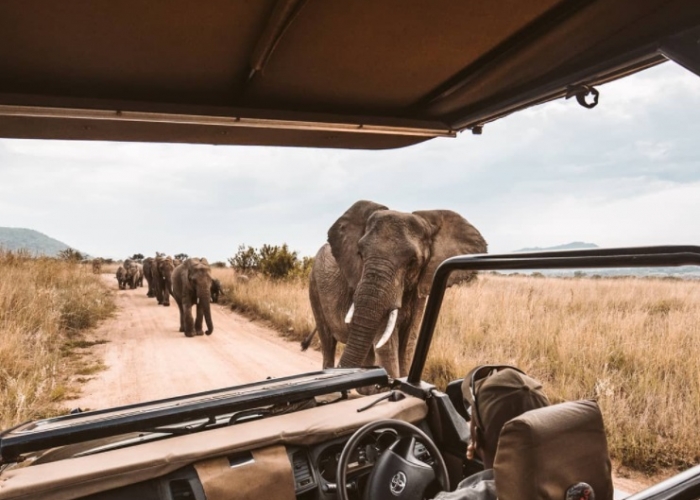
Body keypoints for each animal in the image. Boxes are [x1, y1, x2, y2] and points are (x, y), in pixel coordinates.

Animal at [306, 199, 486, 378]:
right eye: (360, 254)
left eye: (412, 261)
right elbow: (387, 348)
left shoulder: (420, 290)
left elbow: (408, 346)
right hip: (314, 287)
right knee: (328, 343)